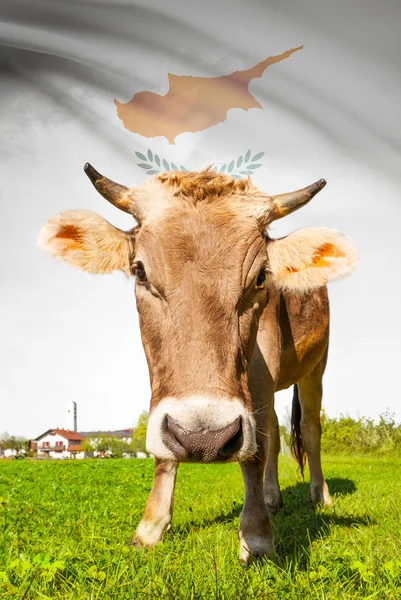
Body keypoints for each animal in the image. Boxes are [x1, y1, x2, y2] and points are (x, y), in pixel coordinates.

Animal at [39, 165, 358, 564]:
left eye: (260, 277)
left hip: (316, 367)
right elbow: (167, 448)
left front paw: (256, 536)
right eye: (140, 271)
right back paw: (272, 497)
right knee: (271, 429)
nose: (203, 438)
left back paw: (320, 495)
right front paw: (150, 527)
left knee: (310, 430)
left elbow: (254, 451)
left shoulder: (263, 365)